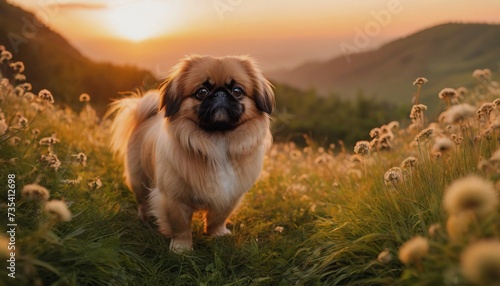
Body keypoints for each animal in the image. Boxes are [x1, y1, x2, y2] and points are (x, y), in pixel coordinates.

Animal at [107, 54, 276, 251]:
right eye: (202, 92)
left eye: (237, 91)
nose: (220, 94)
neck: (217, 140)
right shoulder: (174, 198)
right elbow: (180, 225)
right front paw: (182, 248)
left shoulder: (229, 194)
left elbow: (218, 218)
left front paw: (217, 235)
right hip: (139, 178)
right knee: (142, 201)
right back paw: (145, 219)